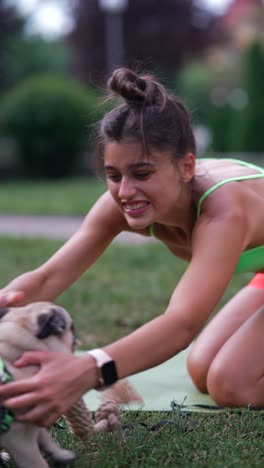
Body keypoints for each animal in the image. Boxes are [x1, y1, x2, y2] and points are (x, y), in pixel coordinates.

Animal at [0, 304, 77, 468]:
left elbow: (44, 435)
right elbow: (38, 462)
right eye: (71, 327)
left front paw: (59, 454)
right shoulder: (20, 439)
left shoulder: (35, 414)